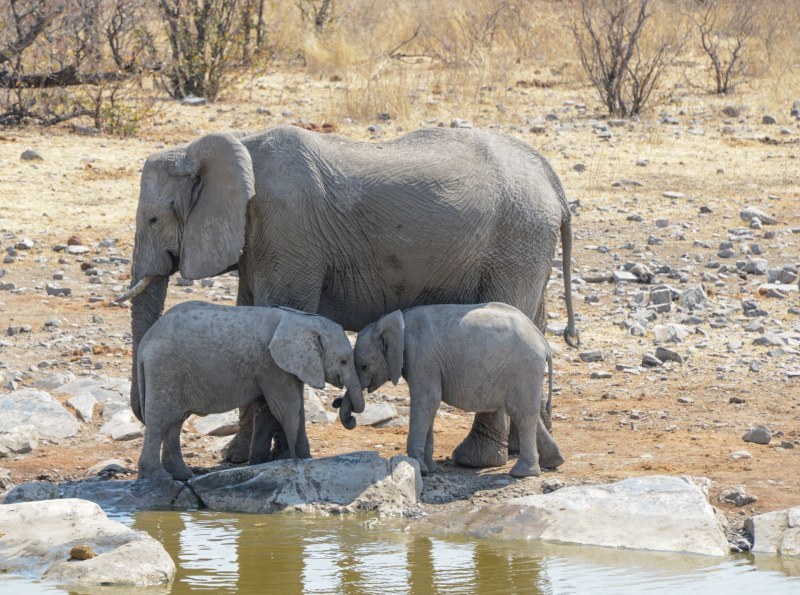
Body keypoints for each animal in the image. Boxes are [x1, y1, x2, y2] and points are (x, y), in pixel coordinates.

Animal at [138, 300, 362, 482]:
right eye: (344, 361)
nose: (338, 402)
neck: (302, 319)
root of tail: (145, 341)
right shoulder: (272, 365)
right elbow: (286, 407)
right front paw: (295, 459)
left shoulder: (283, 366)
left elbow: (274, 409)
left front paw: (273, 461)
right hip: (166, 368)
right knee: (160, 420)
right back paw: (158, 478)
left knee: (175, 421)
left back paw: (181, 475)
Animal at [350, 304, 564, 478]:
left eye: (364, 367)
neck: (394, 321)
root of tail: (544, 343)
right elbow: (429, 405)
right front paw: (429, 469)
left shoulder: (421, 357)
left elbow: (428, 400)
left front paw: (419, 469)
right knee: (526, 413)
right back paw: (553, 461)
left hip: (523, 368)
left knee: (521, 413)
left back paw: (522, 474)